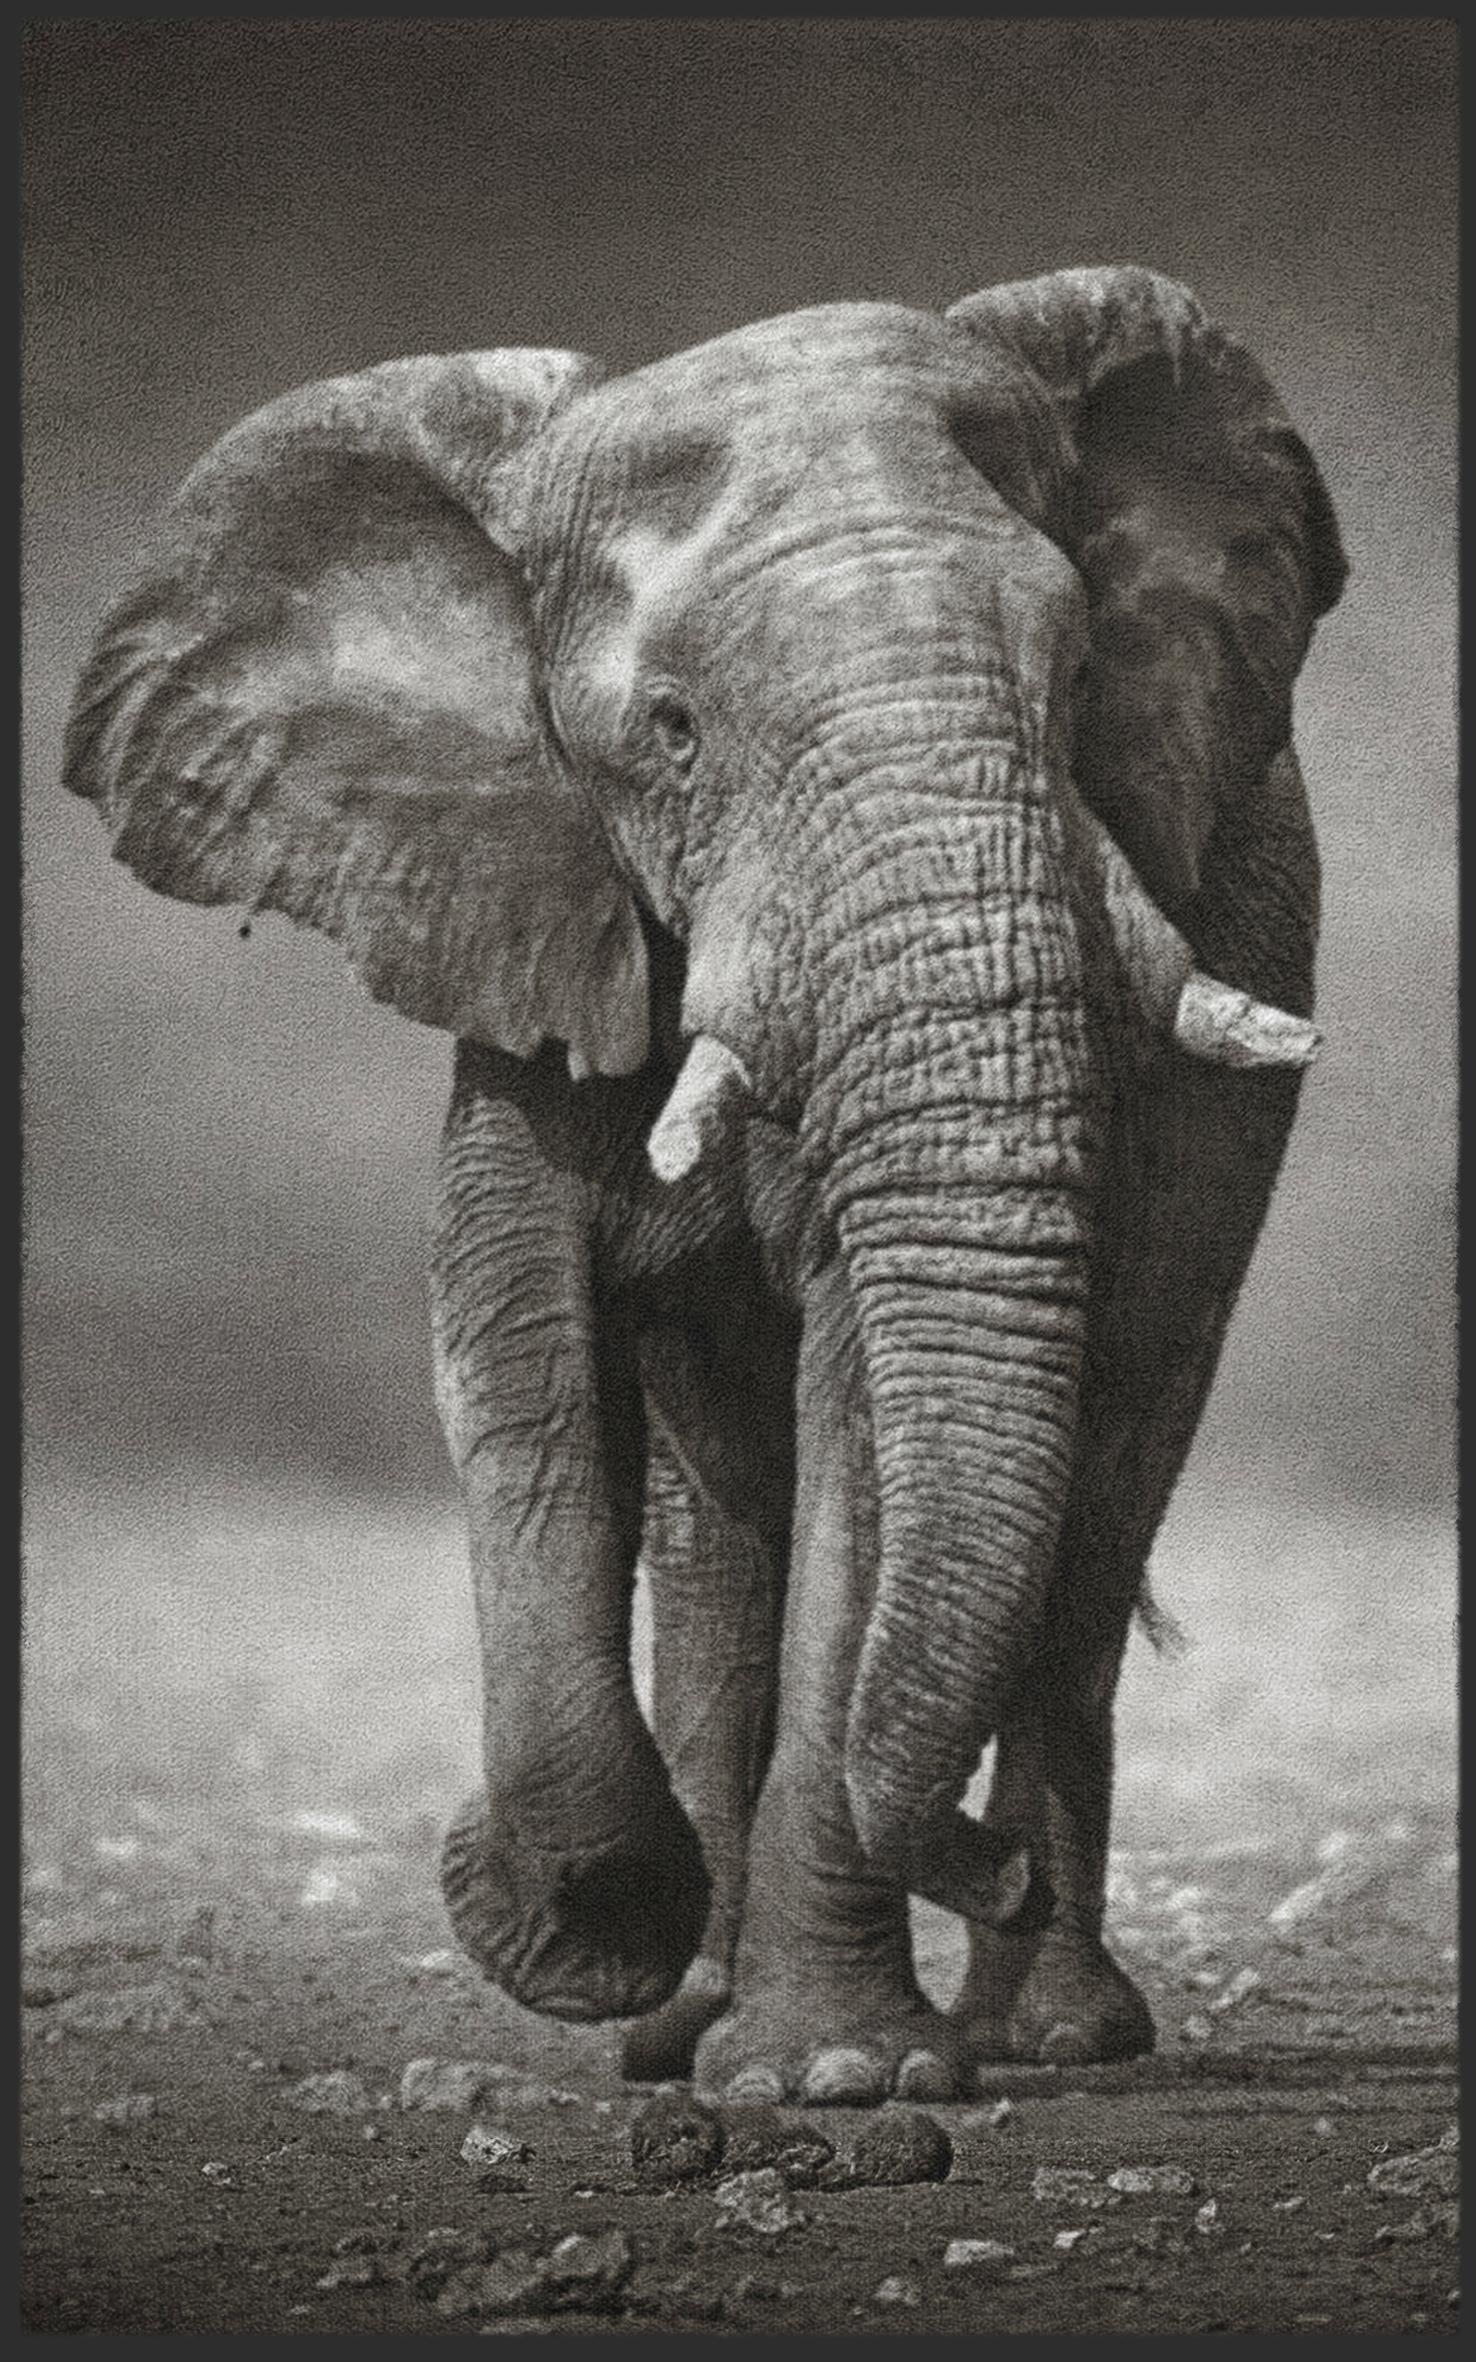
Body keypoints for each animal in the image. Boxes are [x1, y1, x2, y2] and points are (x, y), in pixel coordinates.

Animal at [64, 267, 1345, 2103]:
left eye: (1083, 675)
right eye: (669, 737)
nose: (981, 1865)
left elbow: (863, 1408)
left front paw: (834, 2077)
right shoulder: (526, 904)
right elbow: (517, 1359)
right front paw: (583, 1930)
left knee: (1103, 1478)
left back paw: (1046, 2031)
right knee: (721, 1531)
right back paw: (690, 2019)